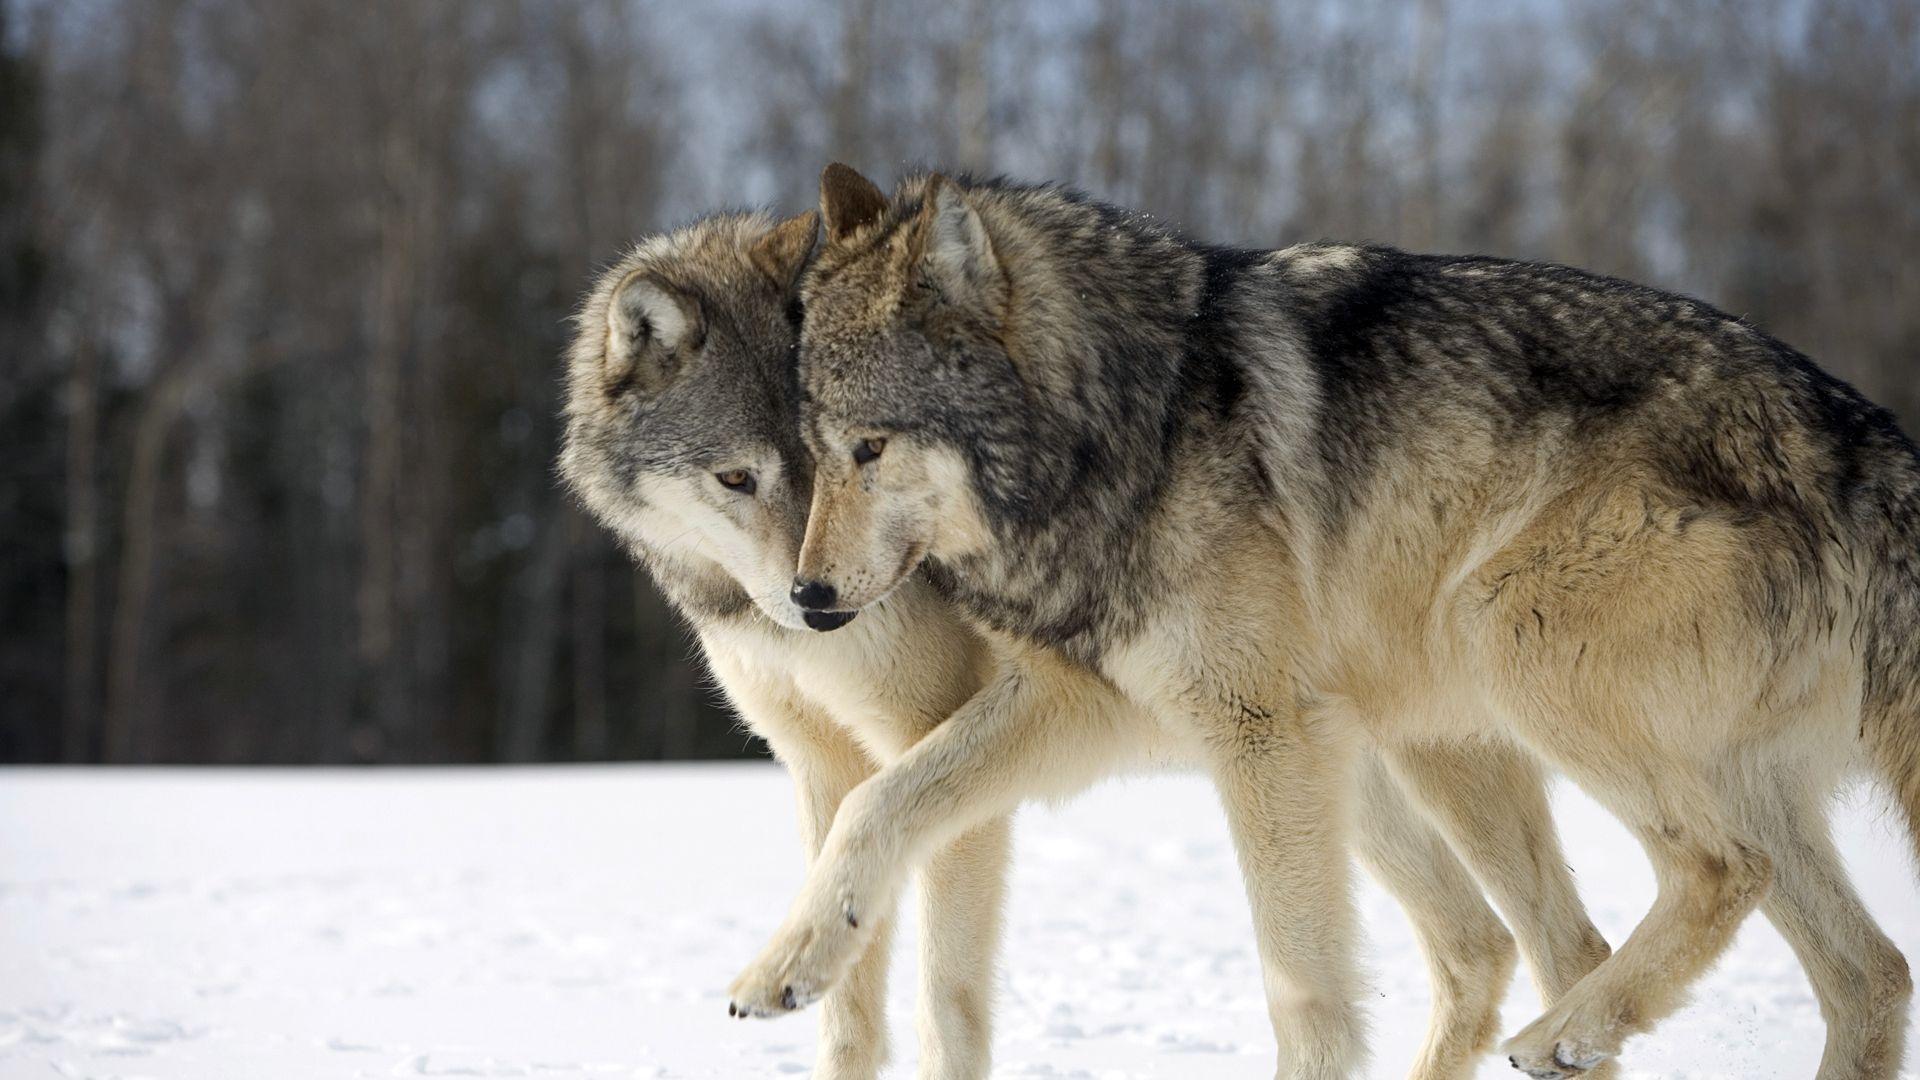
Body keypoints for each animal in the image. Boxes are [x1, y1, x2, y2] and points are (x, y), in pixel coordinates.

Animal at [560, 211, 1614, 1079]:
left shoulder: (958, 749)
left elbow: (943, 999)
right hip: (1343, 773)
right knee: (1484, 946)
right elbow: (848, 1013)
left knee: (1542, 947)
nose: (817, 605)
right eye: (739, 477)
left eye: (851, 459)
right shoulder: (822, 763)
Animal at [727, 164, 1920, 1080]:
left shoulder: (1262, 732)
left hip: (1503, 637)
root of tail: (1859, 431)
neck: (1130, 425)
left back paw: (1565, 1033)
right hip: (1464, 743)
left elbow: (1299, 983)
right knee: (1860, 972)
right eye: (810, 450)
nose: (809, 600)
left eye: (870, 448)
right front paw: (784, 966)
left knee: (1718, 876)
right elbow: (877, 800)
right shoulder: (1087, 702)